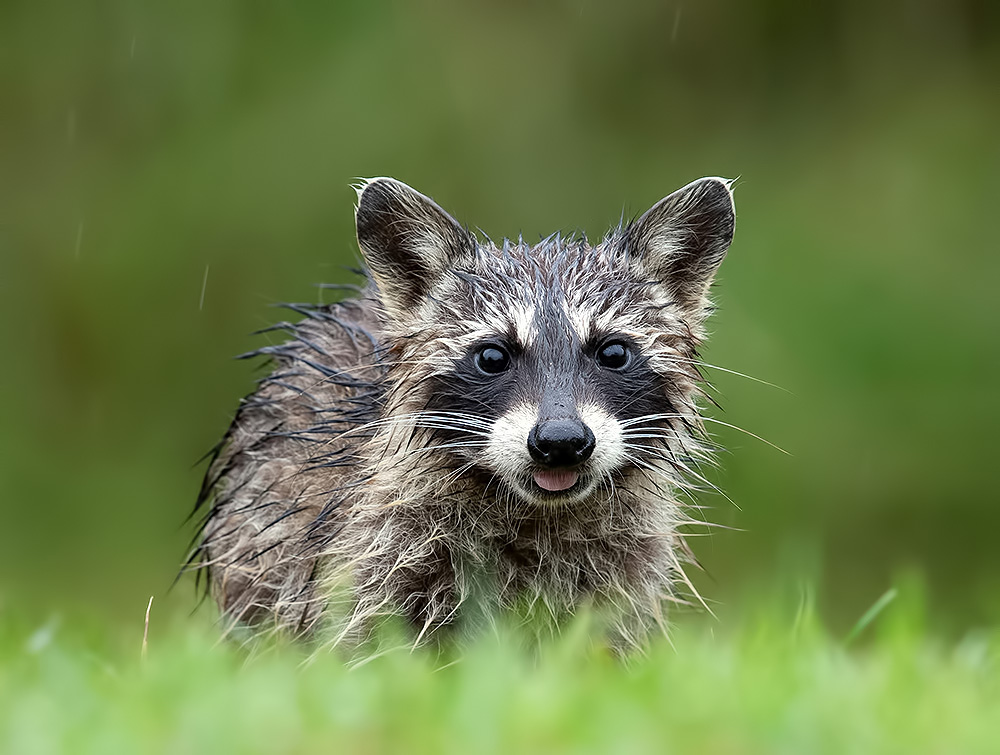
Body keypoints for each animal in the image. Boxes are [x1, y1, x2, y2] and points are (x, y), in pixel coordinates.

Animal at [195, 176, 740, 648]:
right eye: (493, 356)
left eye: (613, 352)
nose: (561, 441)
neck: (535, 513)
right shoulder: (374, 544)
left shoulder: (620, 564)